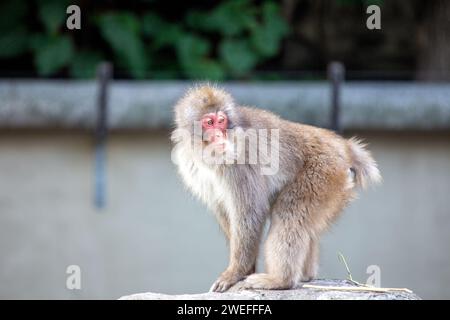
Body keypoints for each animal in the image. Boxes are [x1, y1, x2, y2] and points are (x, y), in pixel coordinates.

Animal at [171, 84, 382, 292]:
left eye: (221, 121)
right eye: (209, 122)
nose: (218, 135)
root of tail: (343, 147)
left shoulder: (240, 162)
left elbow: (250, 212)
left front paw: (235, 272)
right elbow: (224, 211)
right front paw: (246, 268)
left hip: (323, 173)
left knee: (289, 215)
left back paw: (281, 280)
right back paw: (306, 275)